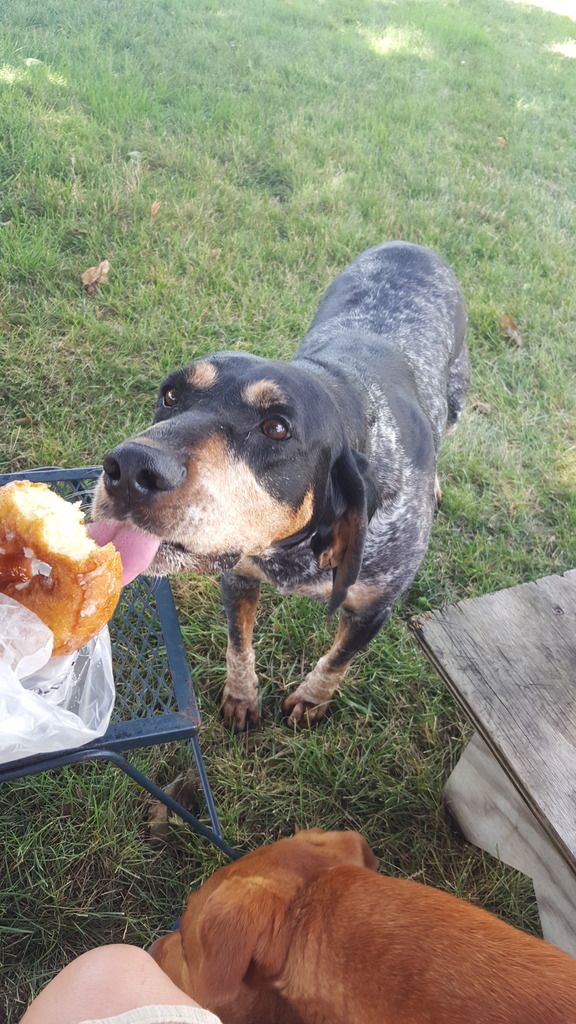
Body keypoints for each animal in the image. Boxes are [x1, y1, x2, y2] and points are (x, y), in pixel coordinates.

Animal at [91, 242, 469, 728]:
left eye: (276, 428)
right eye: (171, 395)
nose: (129, 468)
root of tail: (411, 245)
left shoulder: (373, 610)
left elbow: (337, 660)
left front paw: (311, 700)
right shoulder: (237, 578)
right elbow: (238, 645)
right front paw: (241, 696)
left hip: (457, 395)